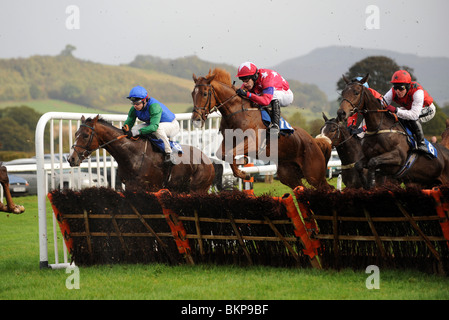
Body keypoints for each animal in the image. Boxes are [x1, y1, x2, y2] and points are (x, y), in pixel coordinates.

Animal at [67, 116, 216, 194]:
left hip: (198, 189)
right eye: (76, 134)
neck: (132, 154)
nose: (71, 158)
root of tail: (208, 160)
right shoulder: (130, 187)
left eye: (86, 135)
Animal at [189, 66, 328, 189]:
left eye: (205, 94)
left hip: (314, 175)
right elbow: (222, 154)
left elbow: (230, 153)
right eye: (192, 94)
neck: (238, 111)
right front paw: (243, 162)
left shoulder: (253, 143)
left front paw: (243, 171)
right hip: (288, 175)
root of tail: (314, 141)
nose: (196, 120)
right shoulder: (229, 140)